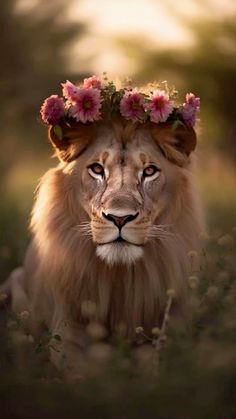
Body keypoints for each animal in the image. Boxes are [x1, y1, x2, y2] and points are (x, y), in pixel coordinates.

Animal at [1, 118, 203, 370]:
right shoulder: (67, 332)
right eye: (97, 169)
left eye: (149, 171)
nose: (119, 218)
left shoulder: (172, 330)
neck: (121, 278)